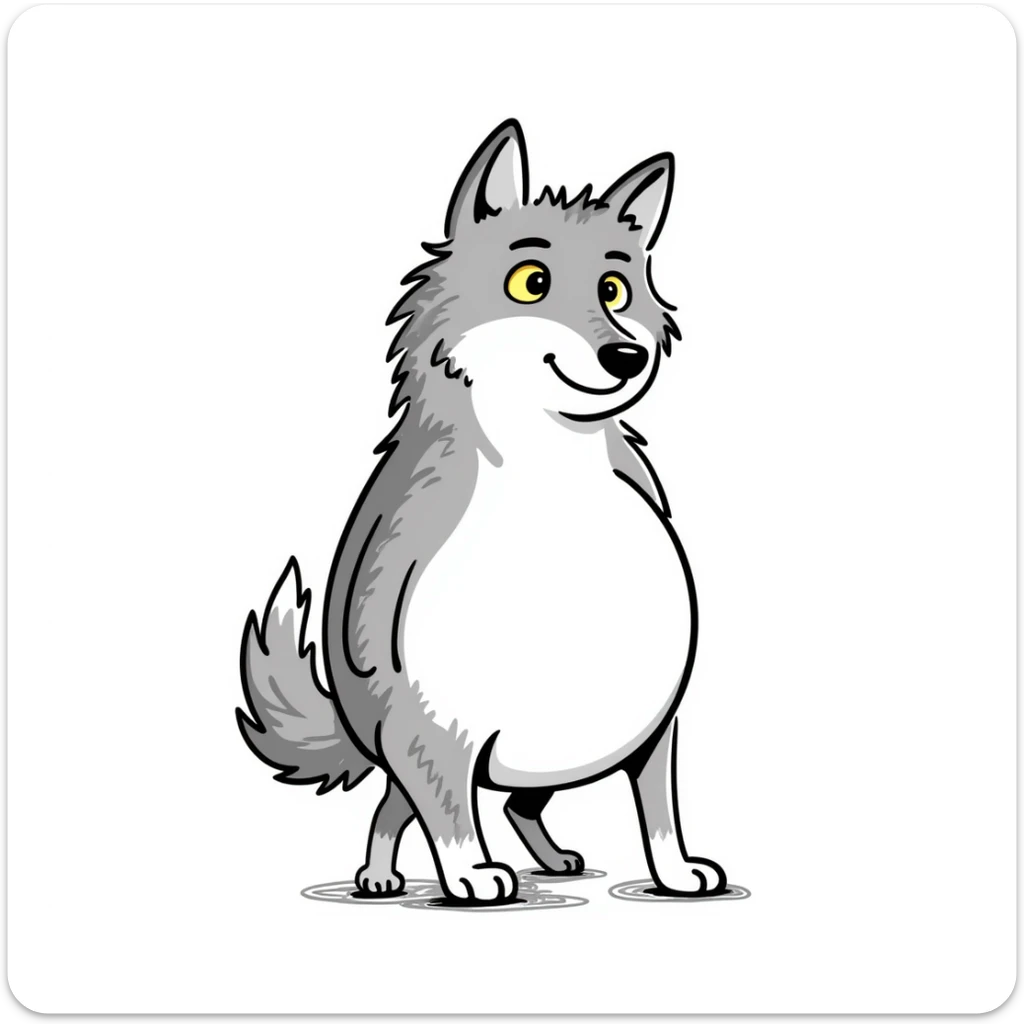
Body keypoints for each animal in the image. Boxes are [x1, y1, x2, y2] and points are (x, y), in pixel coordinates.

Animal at [237, 120, 727, 904]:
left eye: (615, 289)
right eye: (532, 282)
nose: (626, 356)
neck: (550, 470)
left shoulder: (657, 730)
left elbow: (660, 816)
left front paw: (677, 872)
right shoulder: (433, 726)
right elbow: (448, 816)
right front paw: (470, 874)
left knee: (513, 804)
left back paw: (553, 859)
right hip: (419, 743)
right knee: (397, 807)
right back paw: (381, 875)